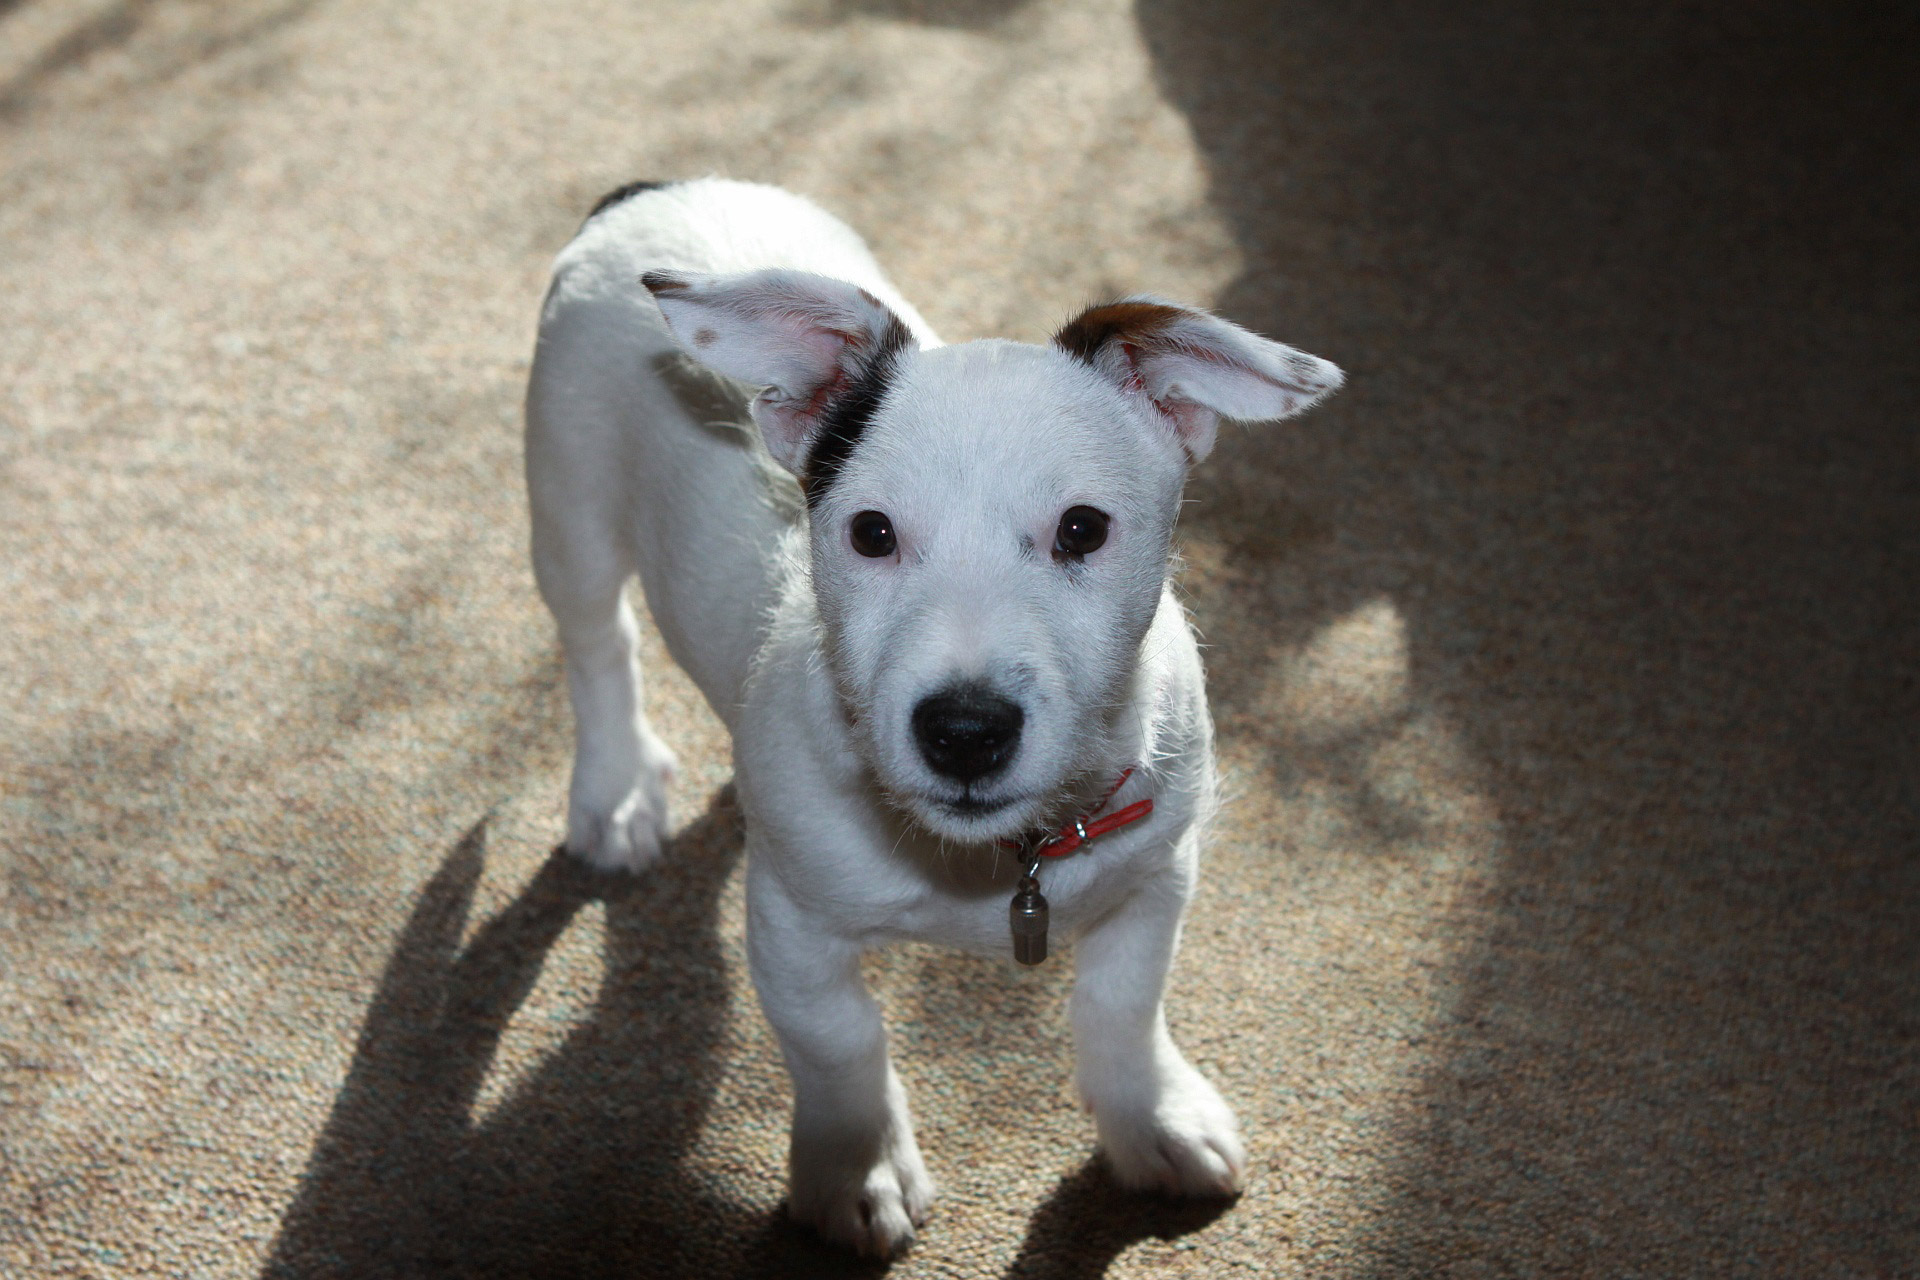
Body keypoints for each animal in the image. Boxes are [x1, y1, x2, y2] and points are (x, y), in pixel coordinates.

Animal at [518, 175, 1344, 1258]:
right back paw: (615, 789)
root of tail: (659, 189)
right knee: (596, 643)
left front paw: (1152, 1120)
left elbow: (1122, 1006)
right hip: (566, 499)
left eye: (1084, 529)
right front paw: (857, 1165)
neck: (995, 863)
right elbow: (839, 1044)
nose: (964, 731)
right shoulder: (793, 927)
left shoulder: (1157, 875)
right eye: (871, 532)